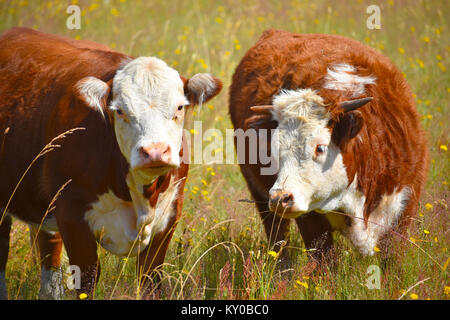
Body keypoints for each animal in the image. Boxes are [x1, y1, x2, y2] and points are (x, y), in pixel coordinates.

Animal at [0, 28, 221, 300]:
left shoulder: (169, 215)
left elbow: (149, 279)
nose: (155, 152)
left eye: (179, 107)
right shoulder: (71, 215)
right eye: (120, 111)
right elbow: (87, 279)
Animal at [229, 29, 428, 264]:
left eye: (320, 148)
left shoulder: (405, 206)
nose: (280, 198)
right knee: (277, 237)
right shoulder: (311, 220)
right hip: (262, 198)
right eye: (273, 150)